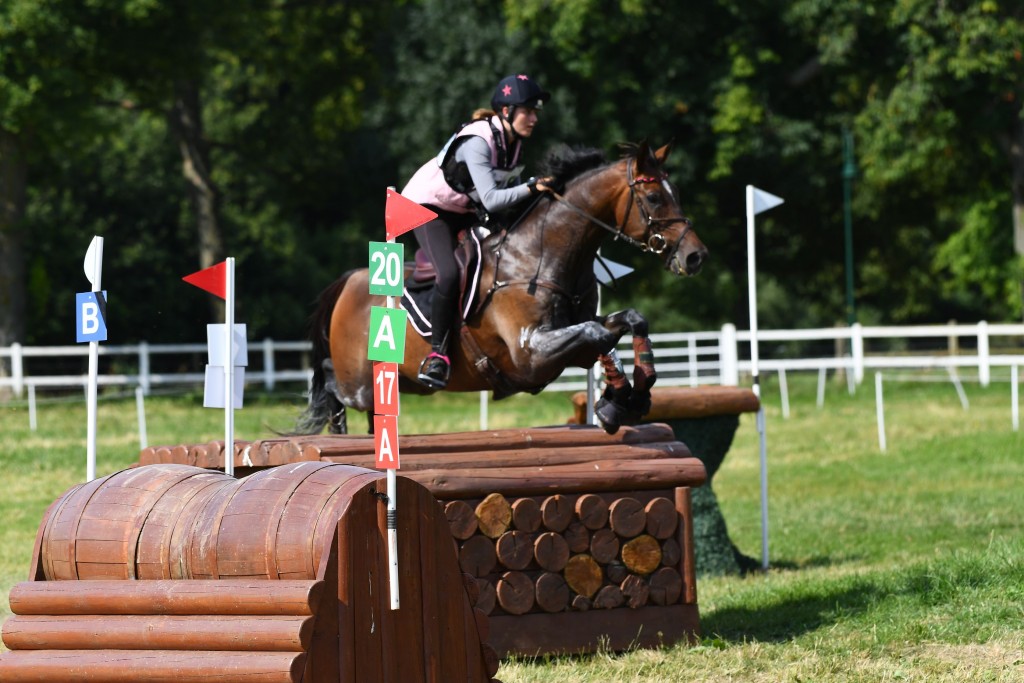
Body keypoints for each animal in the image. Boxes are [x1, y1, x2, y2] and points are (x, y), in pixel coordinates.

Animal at [296, 141, 708, 436]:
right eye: (654, 198)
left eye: (676, 193)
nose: (695, 257)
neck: (542, 255)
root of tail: (348, 281)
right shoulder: (531, 354)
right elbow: (598, 334)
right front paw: (617, 400)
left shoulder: (570, 342)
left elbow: (627, 322)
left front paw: (630, 395)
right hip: (358, 381)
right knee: (331, 386)